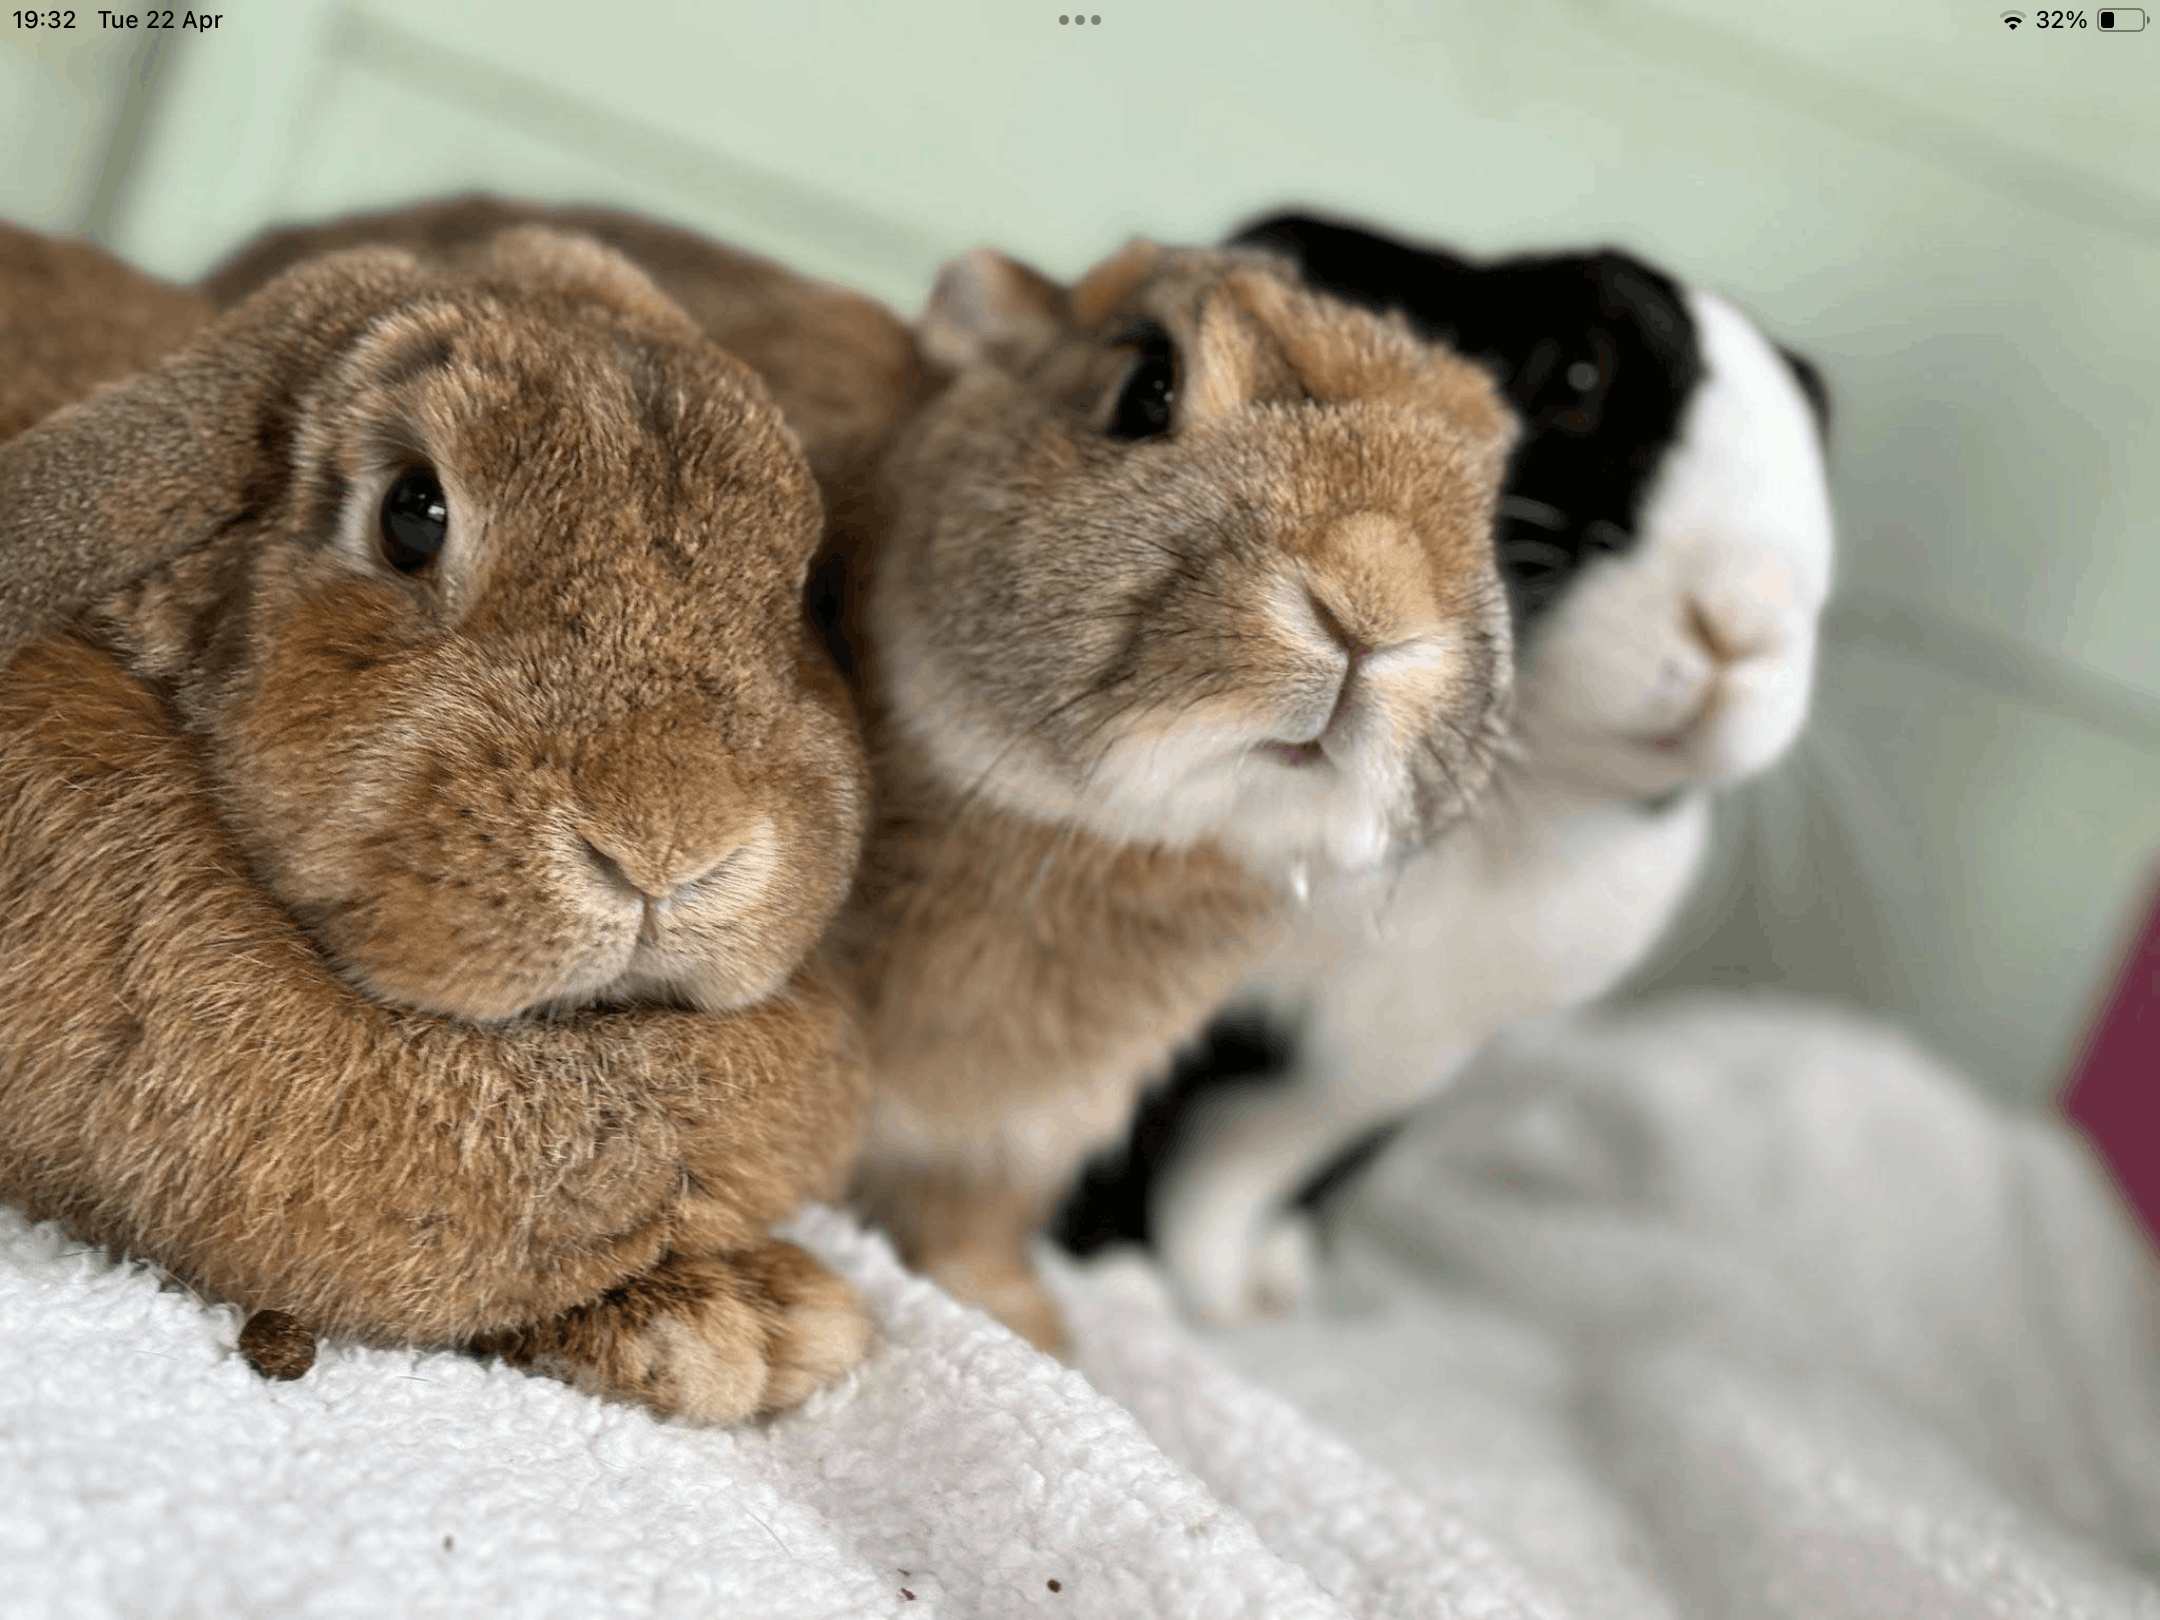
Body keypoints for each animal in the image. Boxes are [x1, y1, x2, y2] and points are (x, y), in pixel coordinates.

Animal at [207, 203, 1524, 1350]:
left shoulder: (1022, 1135)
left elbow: (978, 1228)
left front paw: (1026, 1324)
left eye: (1492, 498)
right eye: (1145, 387)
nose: (1373, 607)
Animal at [1056, 212, 1838, 1325]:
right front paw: (1118, 1293)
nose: (1744, 627)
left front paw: (1236, 1303)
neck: (1500, 815)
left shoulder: (1370, 1076)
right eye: (1576, 373)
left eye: (1819, 435)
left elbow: (1240, 1179)